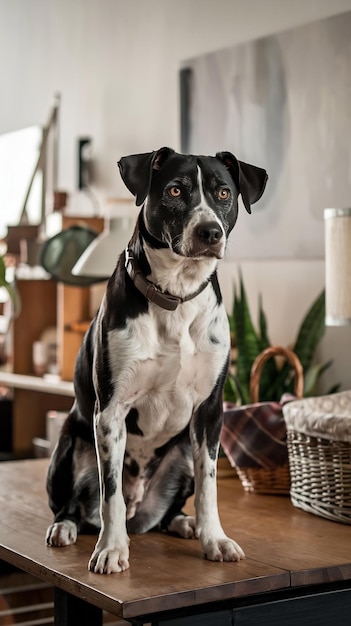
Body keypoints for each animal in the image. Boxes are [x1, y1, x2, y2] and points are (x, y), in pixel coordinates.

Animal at [45, 146, 268, 572]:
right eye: (175, 191)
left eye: (224, 193)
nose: (210, 233)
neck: (176, 295)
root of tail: (142, 513)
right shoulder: (110, 411)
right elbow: (111, 492)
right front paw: (112, 548)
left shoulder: (210, 411)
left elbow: (210, 488)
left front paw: (214, 539)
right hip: (67, 448)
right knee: (74, 505)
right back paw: (65, 528)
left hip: (181, 454)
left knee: (170, 509)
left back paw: (184, 523)